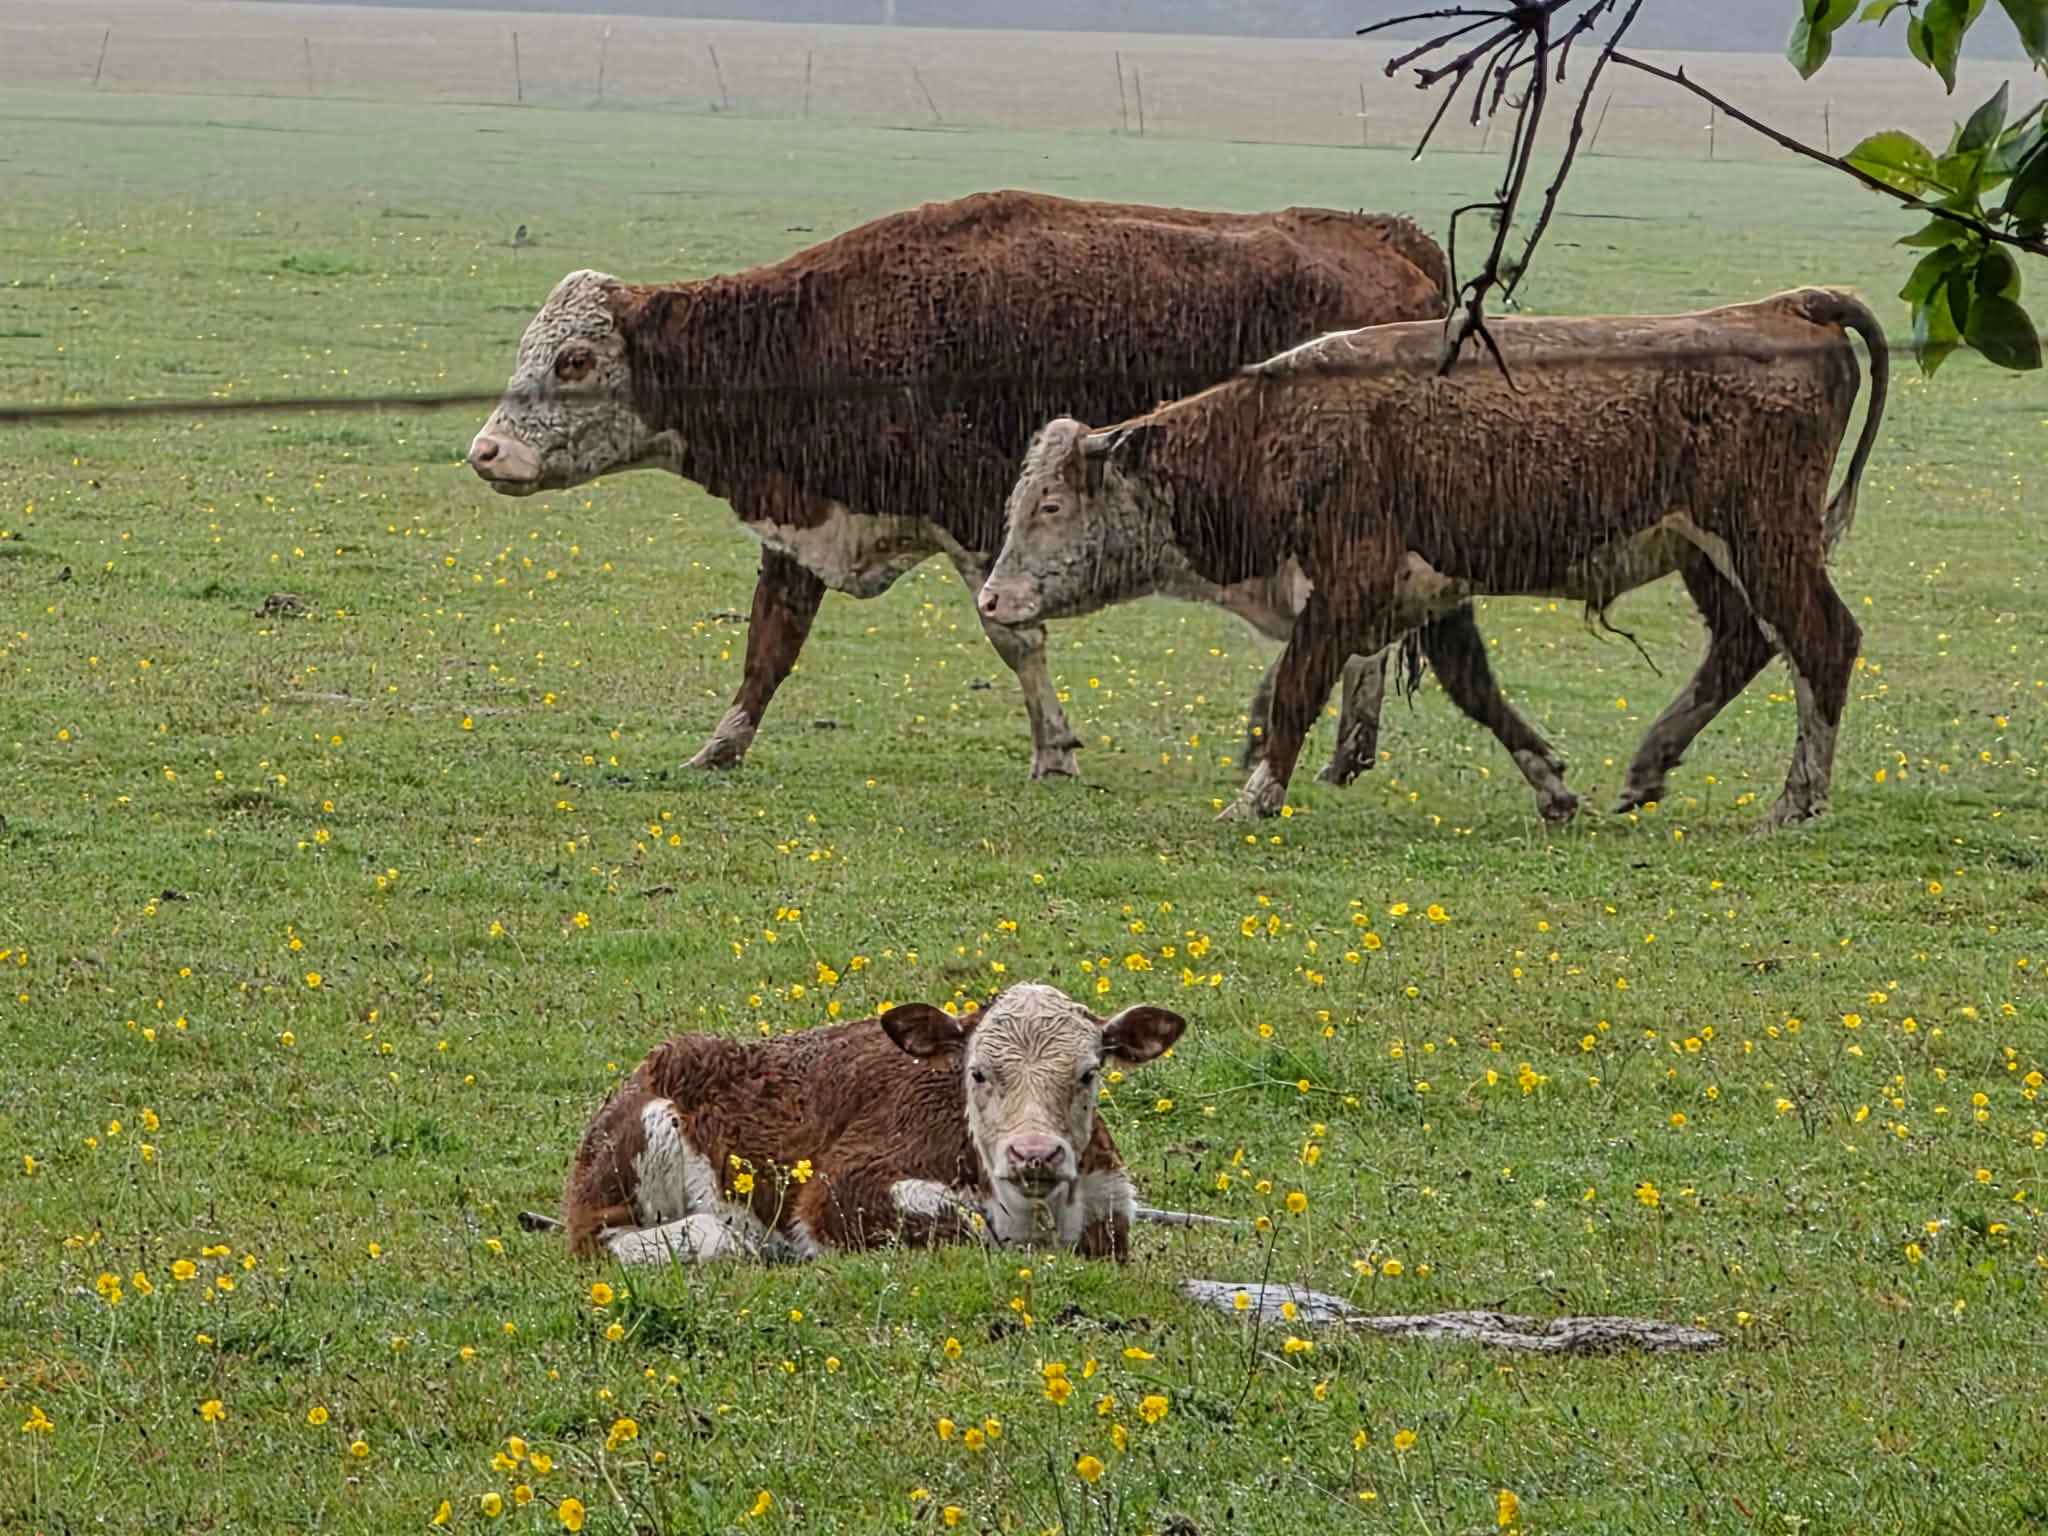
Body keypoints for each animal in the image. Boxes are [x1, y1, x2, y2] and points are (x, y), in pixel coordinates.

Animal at [465, 190, 1559, 789]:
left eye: (573, 360)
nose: (487, 452)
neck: (833, 331)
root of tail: (1392, 241)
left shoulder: (973, 521)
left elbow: (1014, 637)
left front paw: (1055, 751)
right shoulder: (806, 524)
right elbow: (768, 648)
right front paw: (717, 748)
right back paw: (1346, 749)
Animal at [562, 983, 1186, 1265]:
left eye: (1088, 1074)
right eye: (978, 1073)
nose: (1034, 1153)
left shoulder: (1111, 1210)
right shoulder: (840, 1188)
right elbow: (964, 1225)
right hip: (641, 1149)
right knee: (617, 1240)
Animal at [978, 288, 1890, 828]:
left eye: (1050, 506)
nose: (991, 599)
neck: (1276, 433)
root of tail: (1787, 307)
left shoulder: (1347, 589)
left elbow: (1297, 688)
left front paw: (1255, 796)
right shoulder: (1433, 596)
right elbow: (1476, 691)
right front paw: (1552, 786)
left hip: (1766, 540)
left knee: (1823, 641)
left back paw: (1796, 800)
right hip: (1710, 555)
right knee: (1743, 644)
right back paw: (1648, 767)